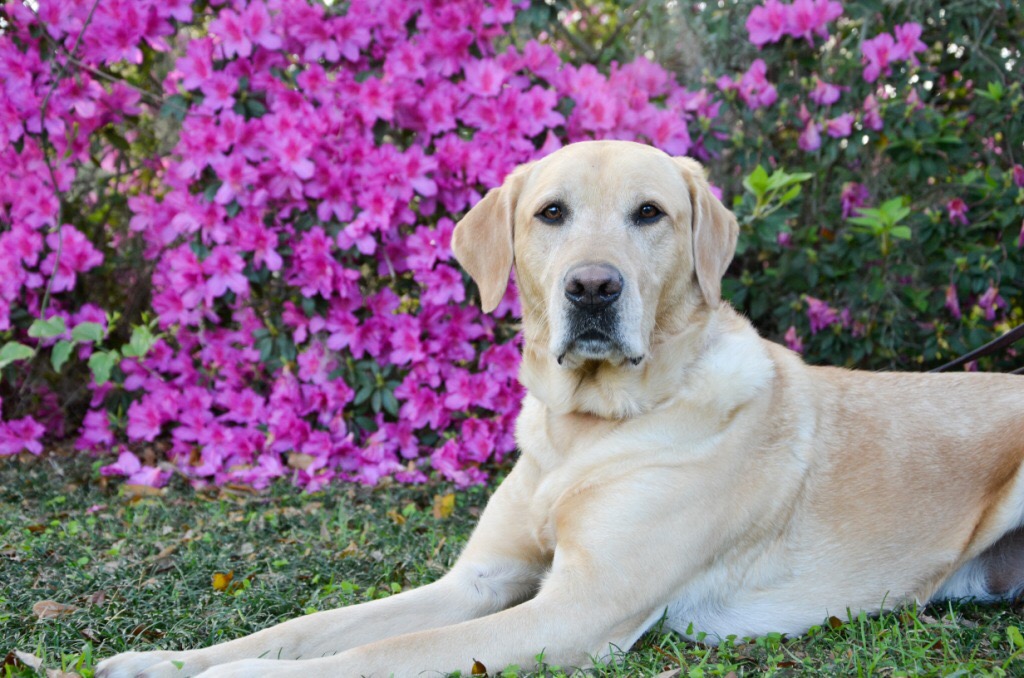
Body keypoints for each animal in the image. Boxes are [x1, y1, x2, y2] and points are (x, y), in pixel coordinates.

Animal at [101, 139, 1024, 678]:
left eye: (651, 214)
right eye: (551, 213)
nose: (592, 289)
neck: (587, 429)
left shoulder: (578, 610)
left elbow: (380, 652)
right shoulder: (477, 581)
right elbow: (314, 625)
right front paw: (167, 662)